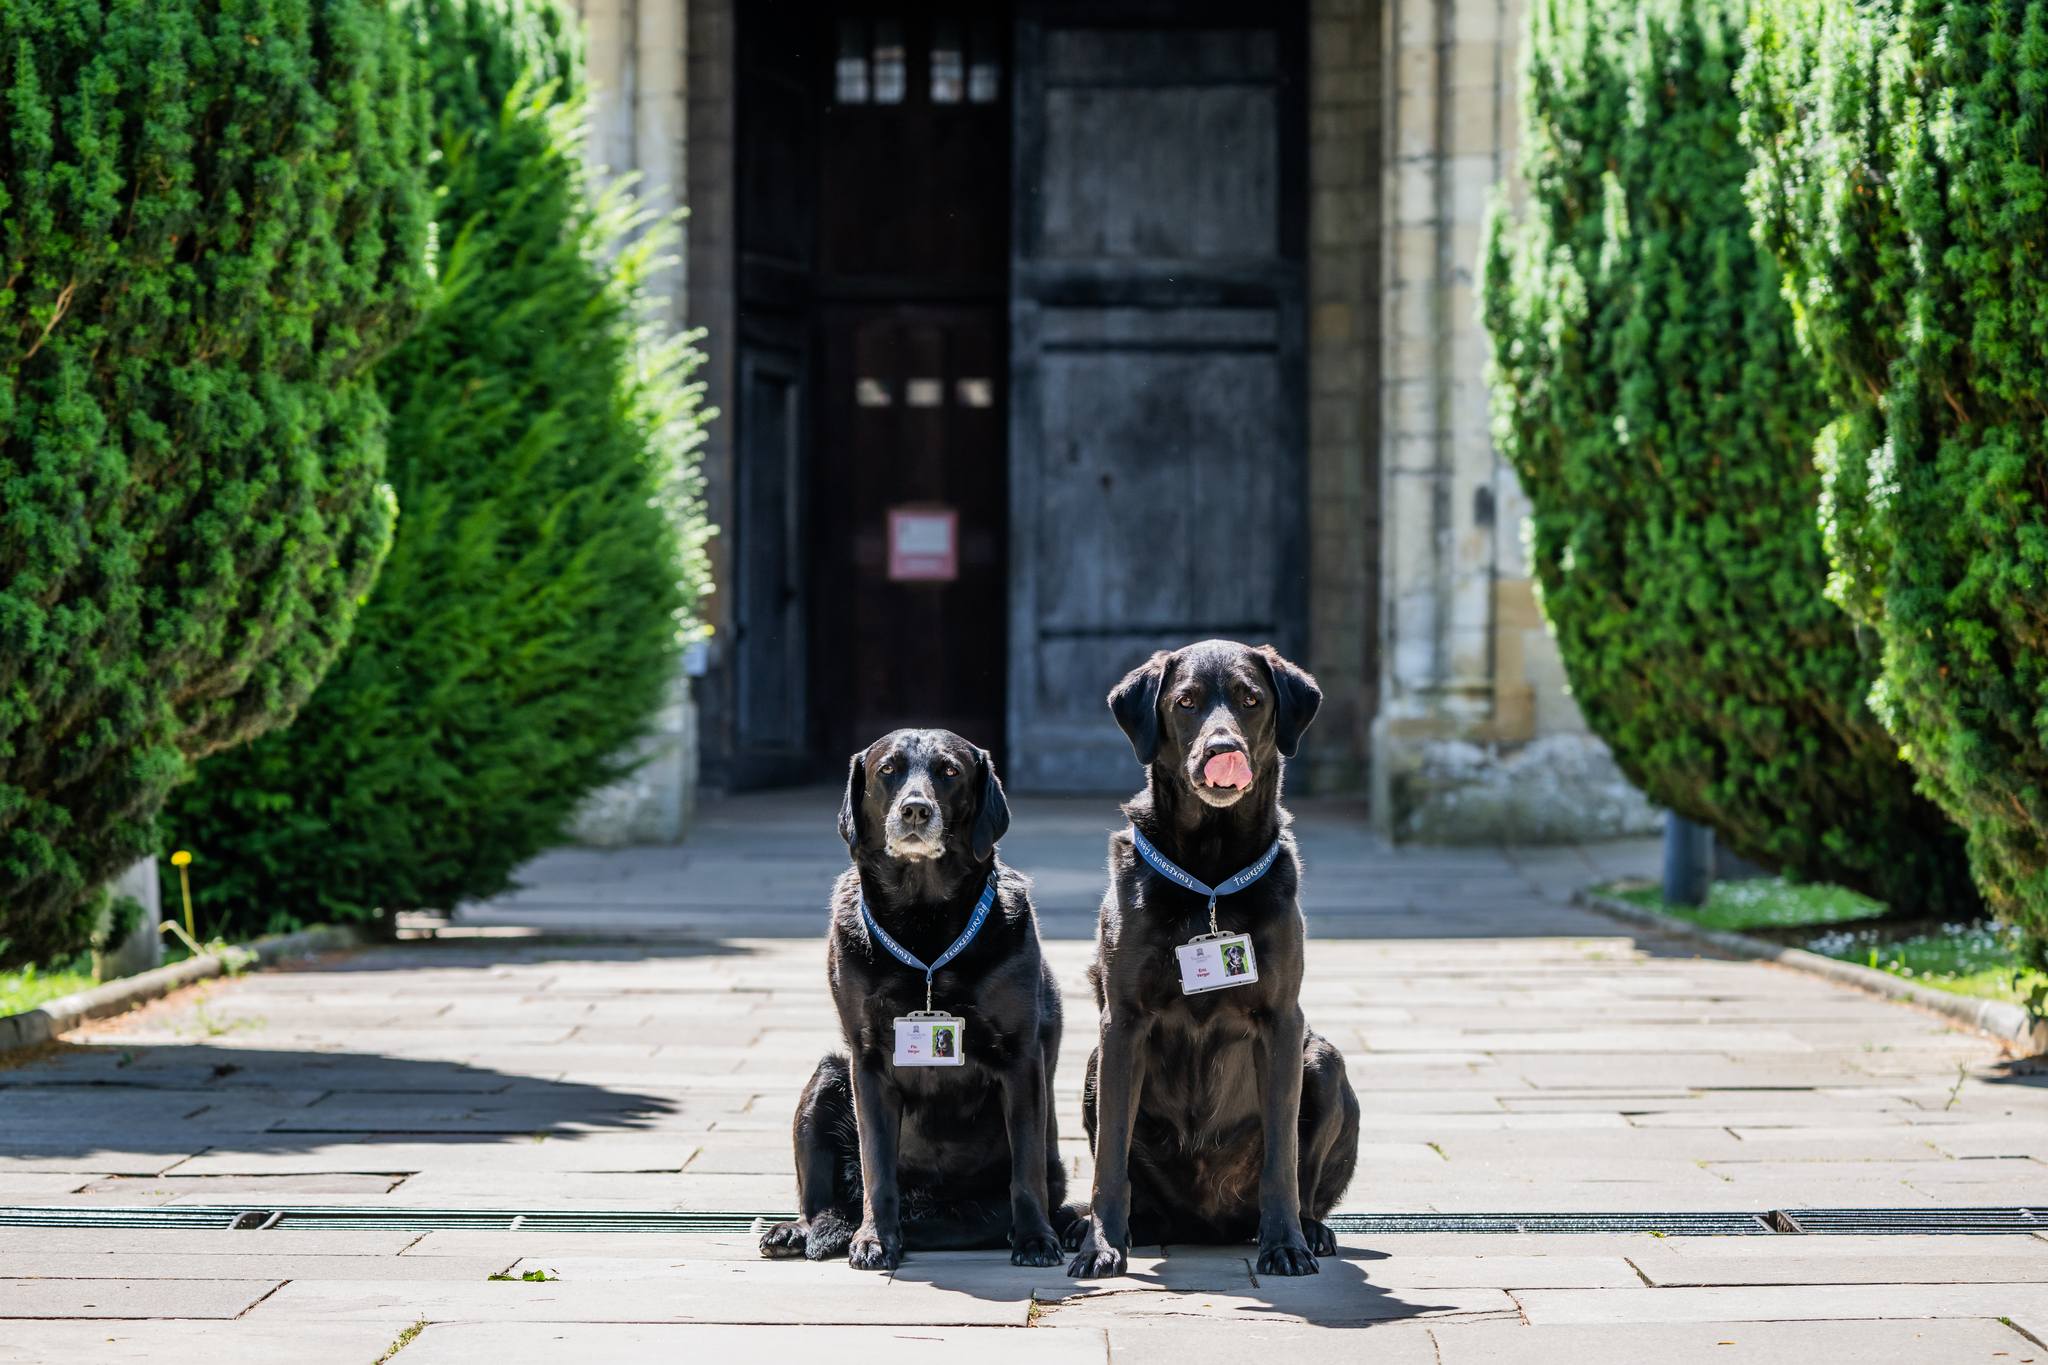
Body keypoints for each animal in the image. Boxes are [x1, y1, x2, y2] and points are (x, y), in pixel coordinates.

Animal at [757, 732, 1073, 1277]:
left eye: (949, 771)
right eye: (888, 770)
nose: (916, 809)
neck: (923, 924)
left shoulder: (1021, 1060)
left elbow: (1026, 1165)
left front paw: (1036, 1238)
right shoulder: (867, 1063)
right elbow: (877, 1167)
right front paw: (875, 1239)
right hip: (827, 1079)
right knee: (822, 1201)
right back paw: (798, 1230)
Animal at [1064, 642, 1351, 1285]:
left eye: (1251, 698)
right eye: (1186, 701)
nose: (1223, 751)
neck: (1210, 877)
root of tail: (1205, 1224)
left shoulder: (1282, 1021)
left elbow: (1282, 1160)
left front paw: (1285, 1245)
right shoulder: (1123, 1024)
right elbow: (1108, 1159)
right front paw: (1100, 1246)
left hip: (1323, 1061)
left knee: (1306, 1181)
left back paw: (1310, 1231)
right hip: (1095, 1066)